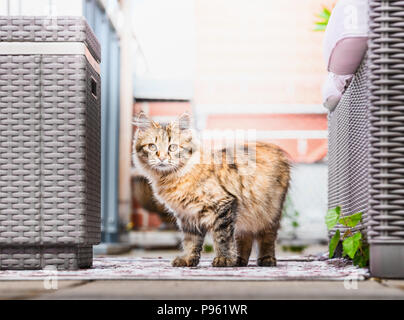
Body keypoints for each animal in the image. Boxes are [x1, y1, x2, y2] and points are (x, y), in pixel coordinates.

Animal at [133, 112, 290, 268]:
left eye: (172, 147)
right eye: (152, 147)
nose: (162, 158)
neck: (171, 178)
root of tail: (276, 149)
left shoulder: (223, 205)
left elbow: (223, 238)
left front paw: (224, 259)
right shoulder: (187, 216)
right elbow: (190, 241)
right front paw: (187, 259)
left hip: (269, 212)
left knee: (267, 237)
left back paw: (266, 259)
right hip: (245, 216)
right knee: (245, 237)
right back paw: (239, 260)